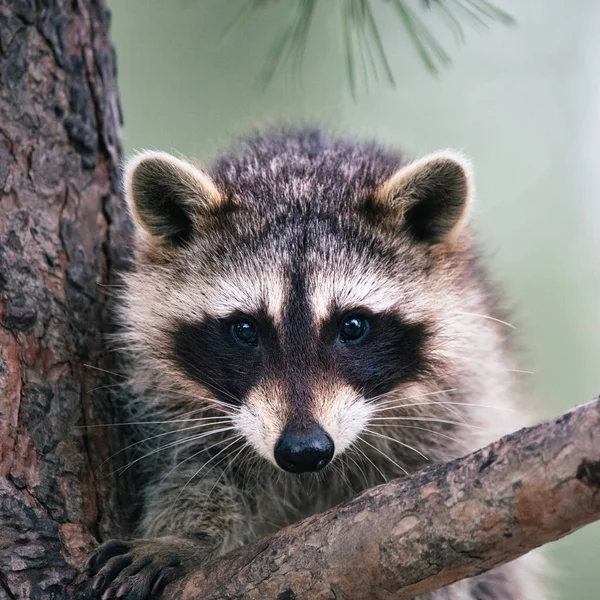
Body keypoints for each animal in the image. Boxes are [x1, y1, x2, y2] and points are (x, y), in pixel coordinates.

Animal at [85, 129, 548, 596]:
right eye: (245, 329)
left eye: (353, 326)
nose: (303, 450)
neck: (302, 175)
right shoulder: (170, 403)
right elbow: (195, 471)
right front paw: (183, 537)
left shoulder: (462, 395)